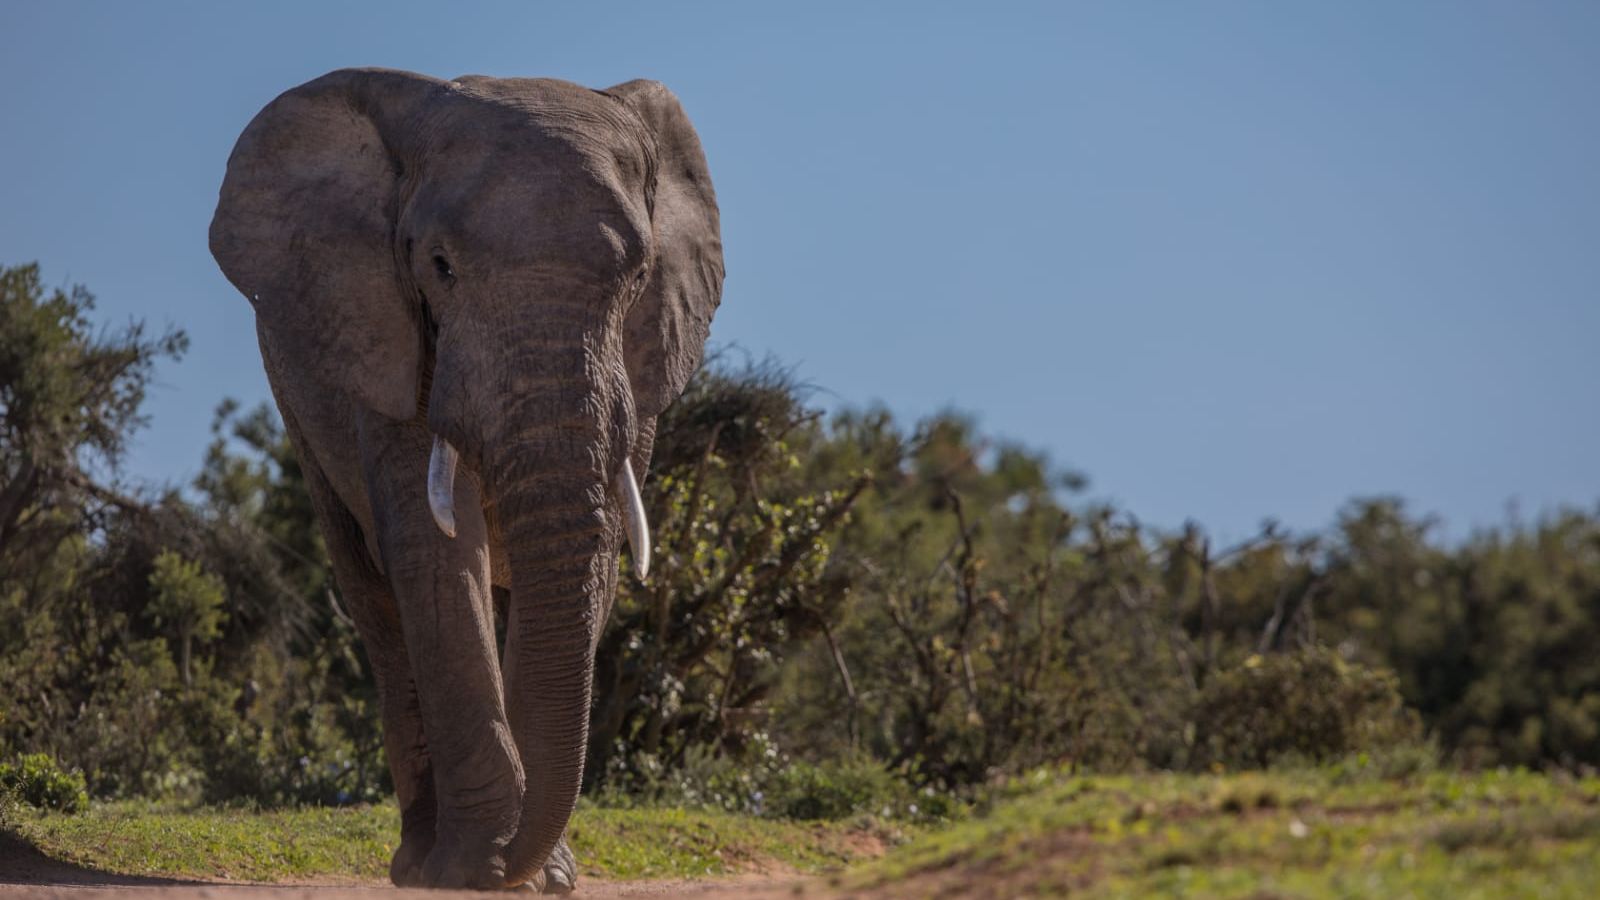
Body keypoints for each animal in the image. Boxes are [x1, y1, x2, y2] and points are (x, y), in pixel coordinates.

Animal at [208, 68, 723, 890]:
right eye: (440, 267)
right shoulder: (383, 333)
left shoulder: (640, 370)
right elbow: (436, 556)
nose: (519, 862)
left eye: (639, 275)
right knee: (375, 597)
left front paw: (541, 876)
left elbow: (598, 558)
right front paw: (477, 867)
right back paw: (417, 860)